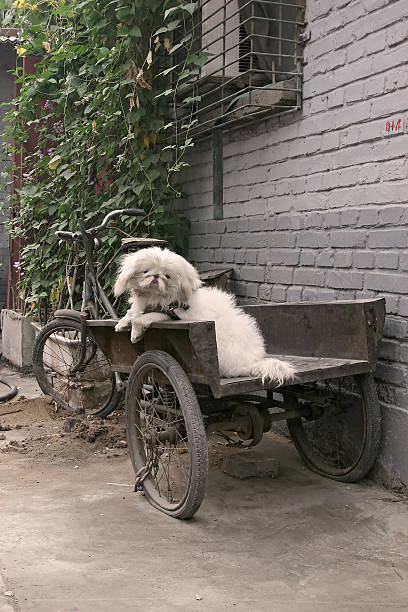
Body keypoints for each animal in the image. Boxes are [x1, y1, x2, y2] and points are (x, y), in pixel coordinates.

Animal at [113, 247, 294, 382]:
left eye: (167, 276)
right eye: (146, 271)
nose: (156, 276)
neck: (154, 298)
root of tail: (253, 363)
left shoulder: (170, 314)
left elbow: (141, 319)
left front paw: (135, 335)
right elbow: (132, 313)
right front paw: (122, 323)